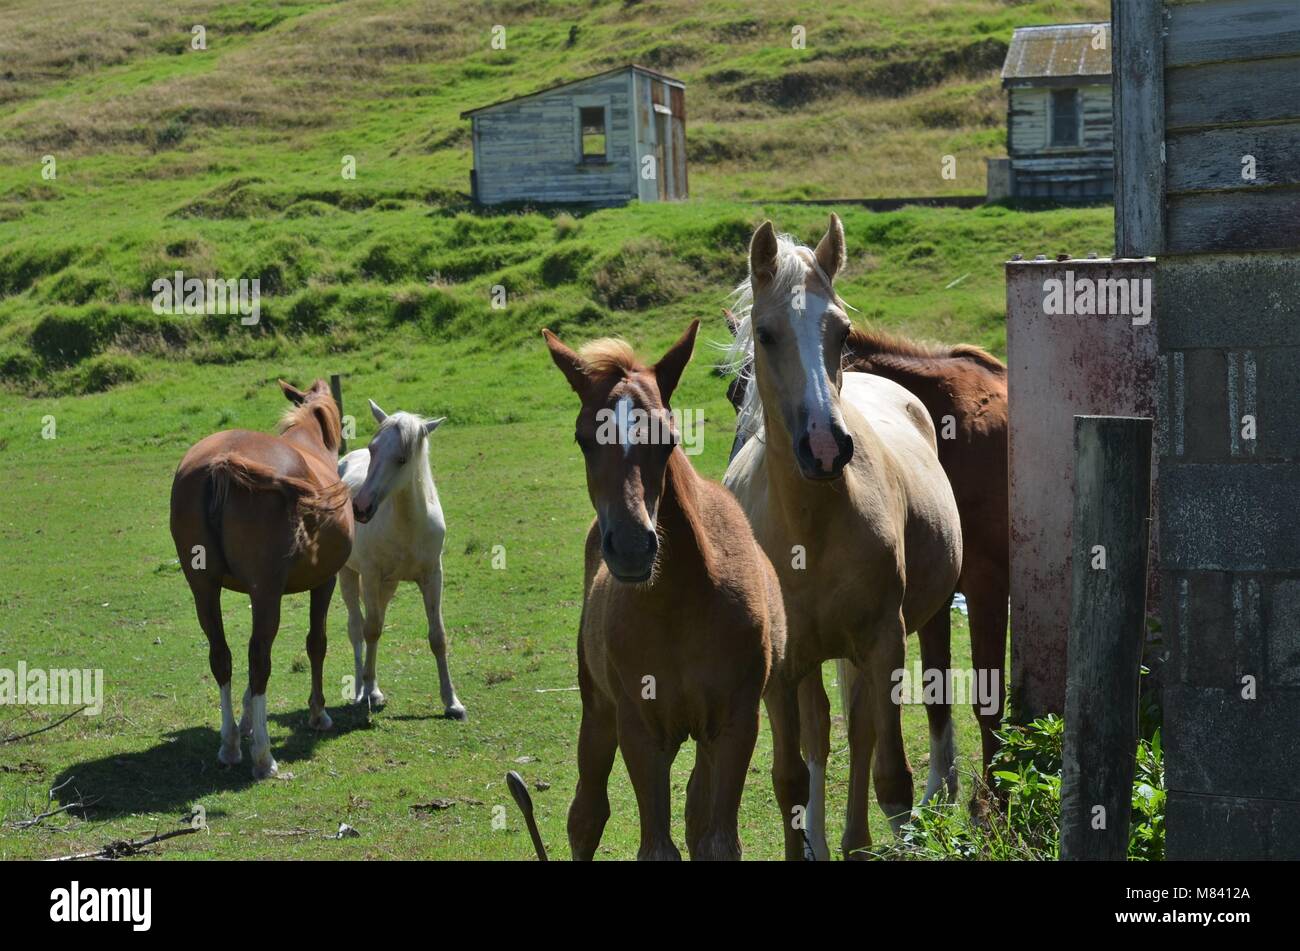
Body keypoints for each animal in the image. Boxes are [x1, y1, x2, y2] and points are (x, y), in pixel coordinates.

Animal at [170, 378, 353, 779]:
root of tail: (223, 462)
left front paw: (245, 721)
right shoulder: (324, 582)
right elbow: (316, 643)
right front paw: (318, 713)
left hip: (204, 588)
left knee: (222, 656)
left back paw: (230, 745)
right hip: (267, 592)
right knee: (258, 660)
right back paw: (263, 757)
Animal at [336, 401, 466, 720]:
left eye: (402, 458)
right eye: (373, 449)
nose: (360, 508)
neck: (407, 524)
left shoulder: (433, 576)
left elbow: (437, 636)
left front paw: (452, 702)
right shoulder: (370, 575)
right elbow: (370, 630)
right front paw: (370, 693)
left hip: (388, 585)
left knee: (374, 622)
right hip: (348, 575)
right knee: (357, 628)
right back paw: (362, 689)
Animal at [543, 320, 786, 860]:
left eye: (669, 438)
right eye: (583, 439)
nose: (632, 545)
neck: (680, 606)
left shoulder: (735, 726)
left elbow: (717, 840)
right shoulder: (641, 732)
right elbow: (655, 846)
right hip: (599, 709)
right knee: (586, 815)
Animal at [723, 214, 963, 859]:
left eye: (842, 330)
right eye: (765, 333)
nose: (826, 447)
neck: (809, 529)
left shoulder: (884, 644)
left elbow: (888, 774)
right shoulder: (781, 669)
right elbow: (789, 778)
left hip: (917, 624)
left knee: (862, 738)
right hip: (813, 662)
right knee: (820, 743)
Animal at [725, 313, 1009, 783]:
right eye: (733, 393)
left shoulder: (987, 587)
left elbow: (989, 703)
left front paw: (992, 798)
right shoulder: (936, 597)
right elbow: (936, 694)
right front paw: (940, 791)